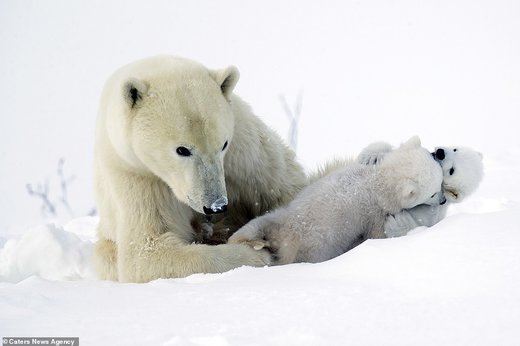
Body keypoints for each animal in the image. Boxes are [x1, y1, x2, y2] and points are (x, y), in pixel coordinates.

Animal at [93, 55, 306, 282]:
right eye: (182, 149)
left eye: (223, 144)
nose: (216, 206)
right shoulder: (137, 176)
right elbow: (146, 251)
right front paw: (256, 254)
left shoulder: (244, 151)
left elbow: (284, 187)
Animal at [230, 137, 440, 264]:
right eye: (433, 193)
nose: (443, 199)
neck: (375, 180)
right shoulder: (375, 211)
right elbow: (379, 233)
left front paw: (374, 154)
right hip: (316, 246)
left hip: (278, 216)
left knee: (254, 225)